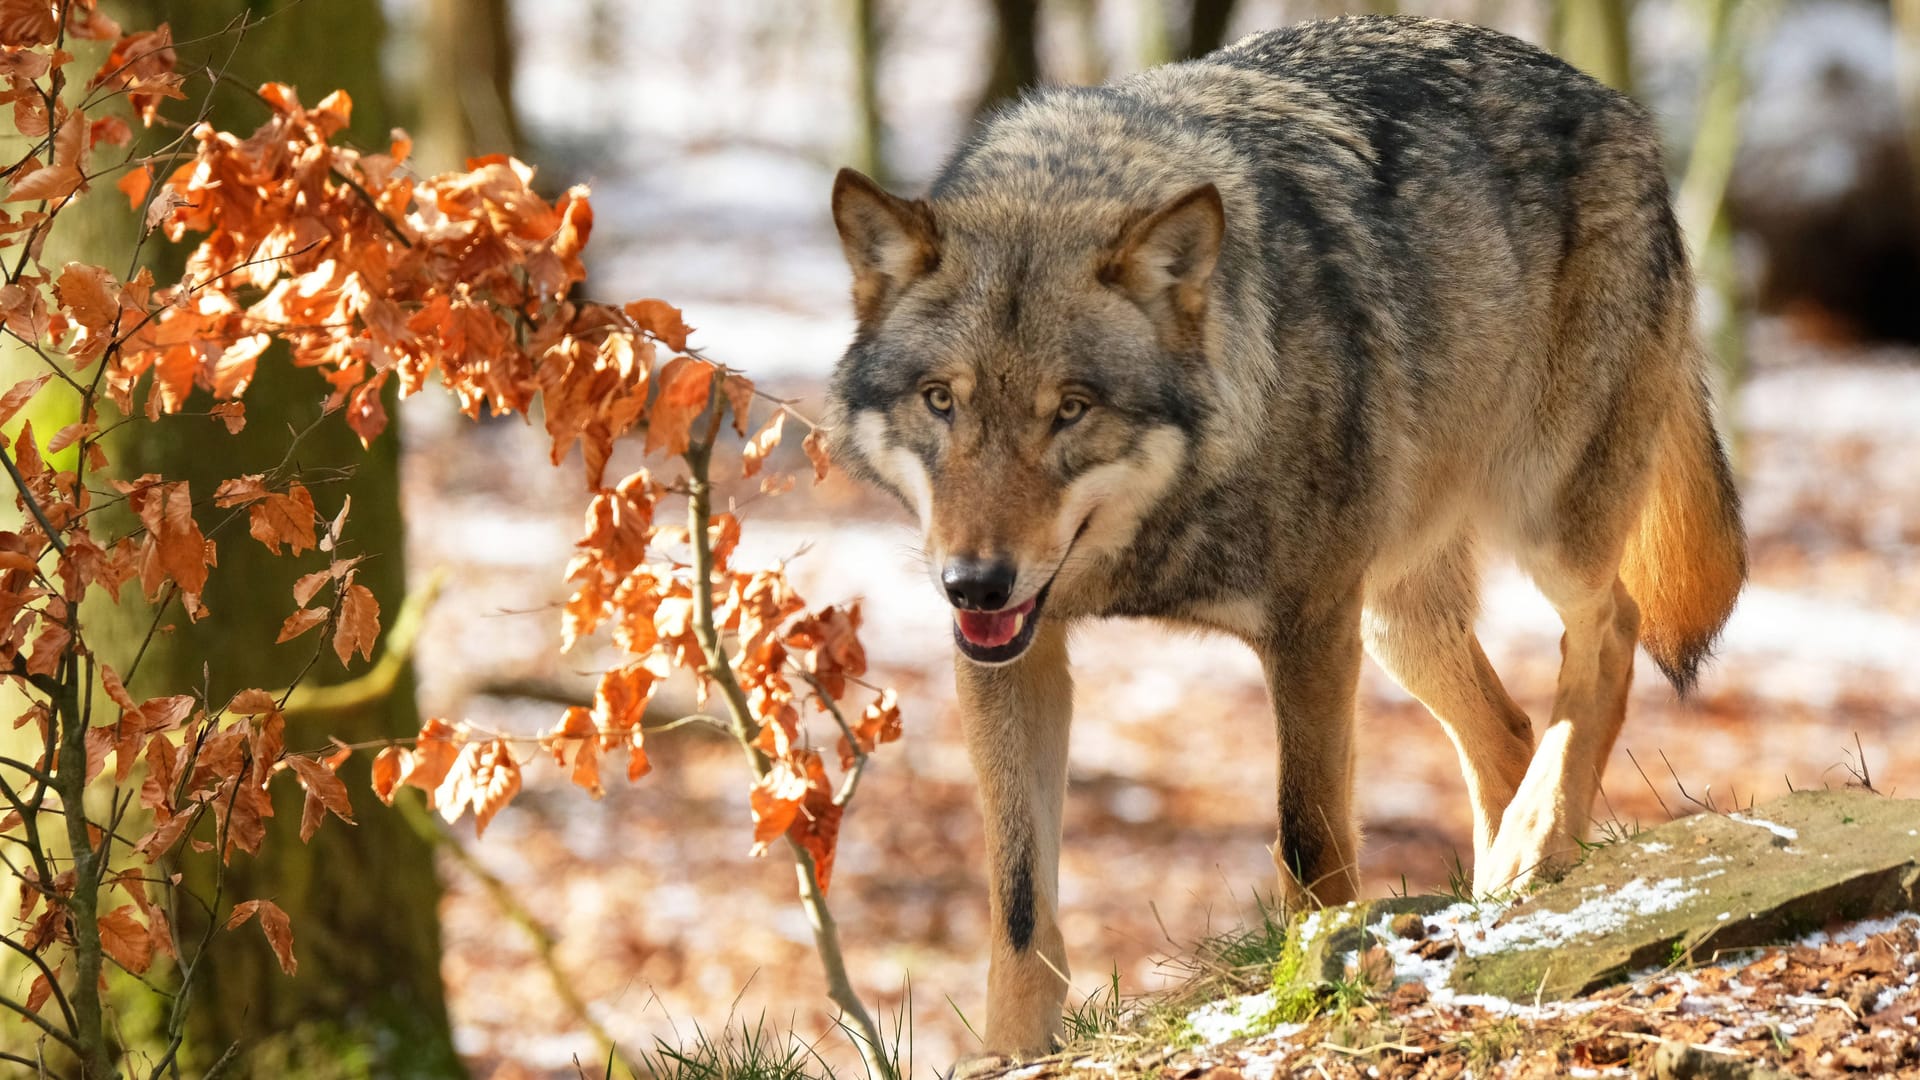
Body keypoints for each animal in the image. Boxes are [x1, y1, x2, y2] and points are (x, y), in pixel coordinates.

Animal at [817, 12, 1751, 1053]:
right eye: (942, 402)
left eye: (1071, 410)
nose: (974, 583)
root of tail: (1617, 104)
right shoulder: (1015, 653)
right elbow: (1020, 906)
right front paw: (1013, 1055)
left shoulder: (1307, 631)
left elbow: (1310, 842)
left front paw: (1314, 988)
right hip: (1394, 624)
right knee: (1508, 731)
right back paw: (1507, 886)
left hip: (1535, 527)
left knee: (1610, 630)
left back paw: (1538, 839)